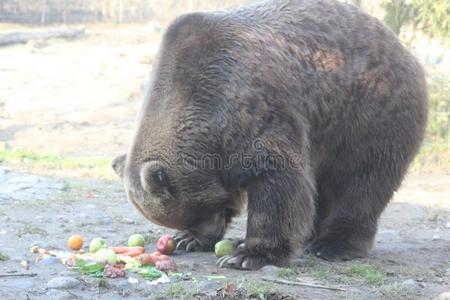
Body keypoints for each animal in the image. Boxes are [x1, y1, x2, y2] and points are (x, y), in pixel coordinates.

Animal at [111, 0, 426, 270]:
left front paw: (246, 255)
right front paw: (188, 239)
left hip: (368, 113)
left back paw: (333, 244)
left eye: (195, 210)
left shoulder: (251, 110)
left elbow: (278, 181)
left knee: (362, 180)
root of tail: (403, 49)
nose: (200, 231)